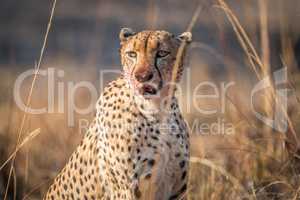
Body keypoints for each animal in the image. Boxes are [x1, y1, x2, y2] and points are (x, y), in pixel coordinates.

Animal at [45, 28, 192, 200]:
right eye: (132, 54)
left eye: (162, 53)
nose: (142, 76)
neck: (157, 109)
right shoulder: (126, 190)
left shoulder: (177, 190)